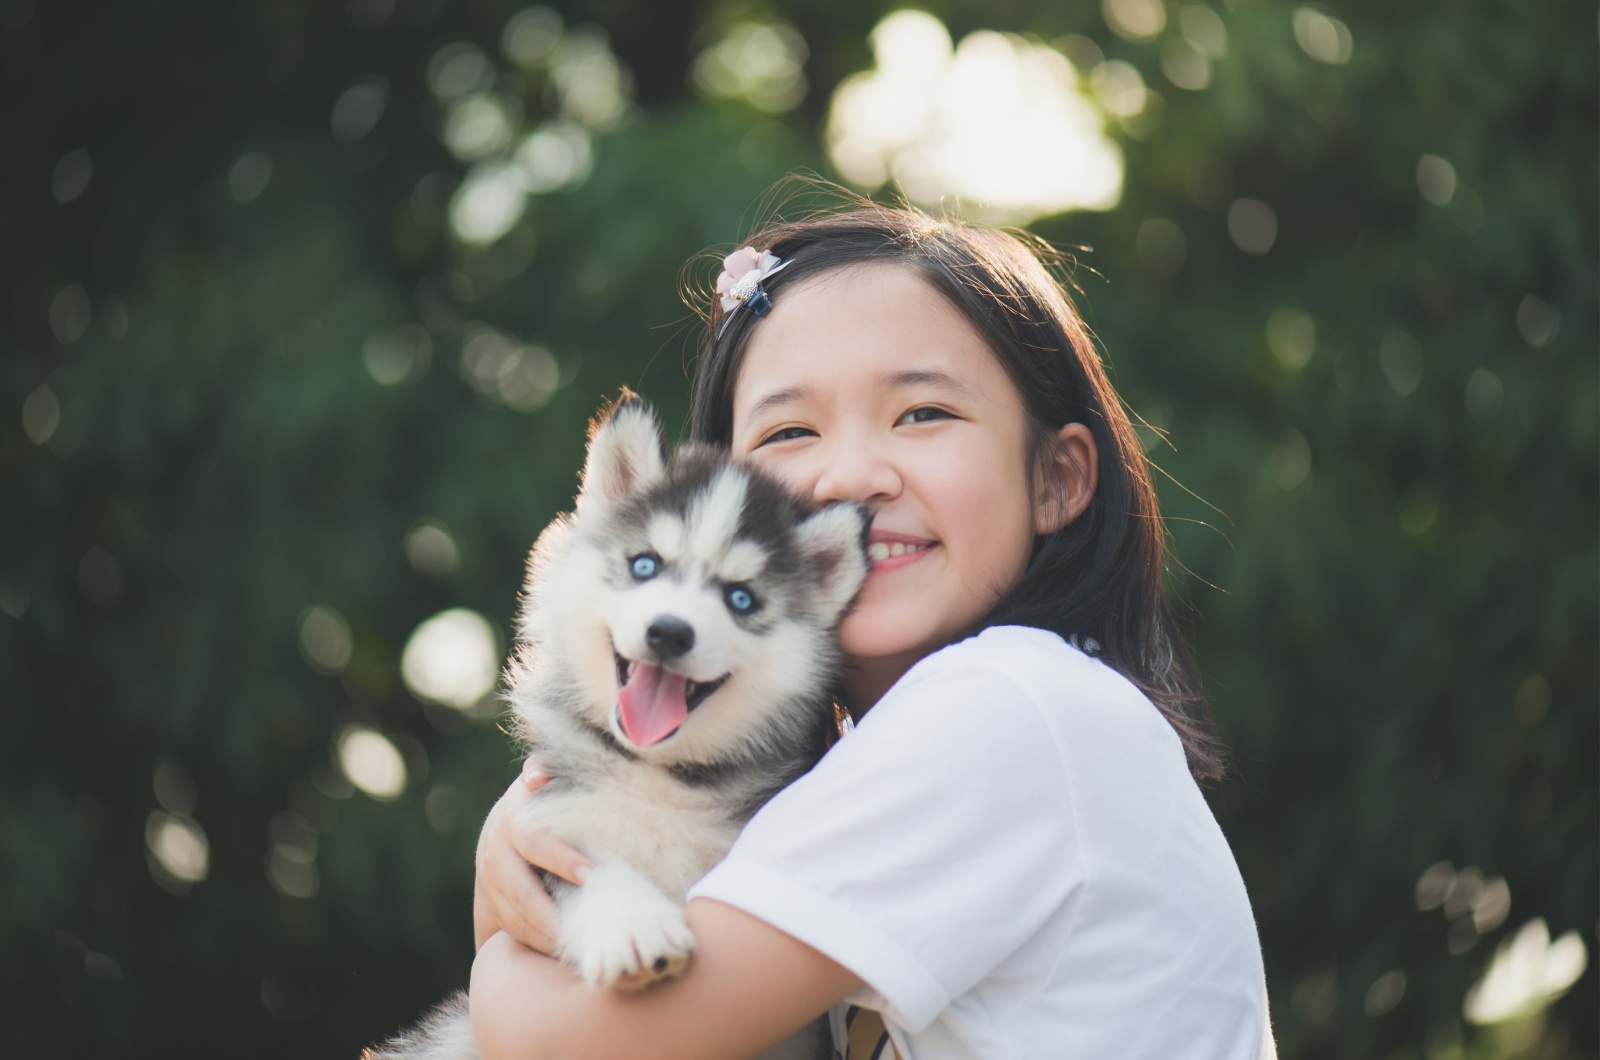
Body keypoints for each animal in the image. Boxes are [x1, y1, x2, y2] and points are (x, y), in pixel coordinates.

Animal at [368, 398, 870, 1060]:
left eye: (740, 598)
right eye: (644, 565)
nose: (669, 632)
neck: (655, 778)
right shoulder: (555, 831)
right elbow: (593, 875)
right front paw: (633, 926)